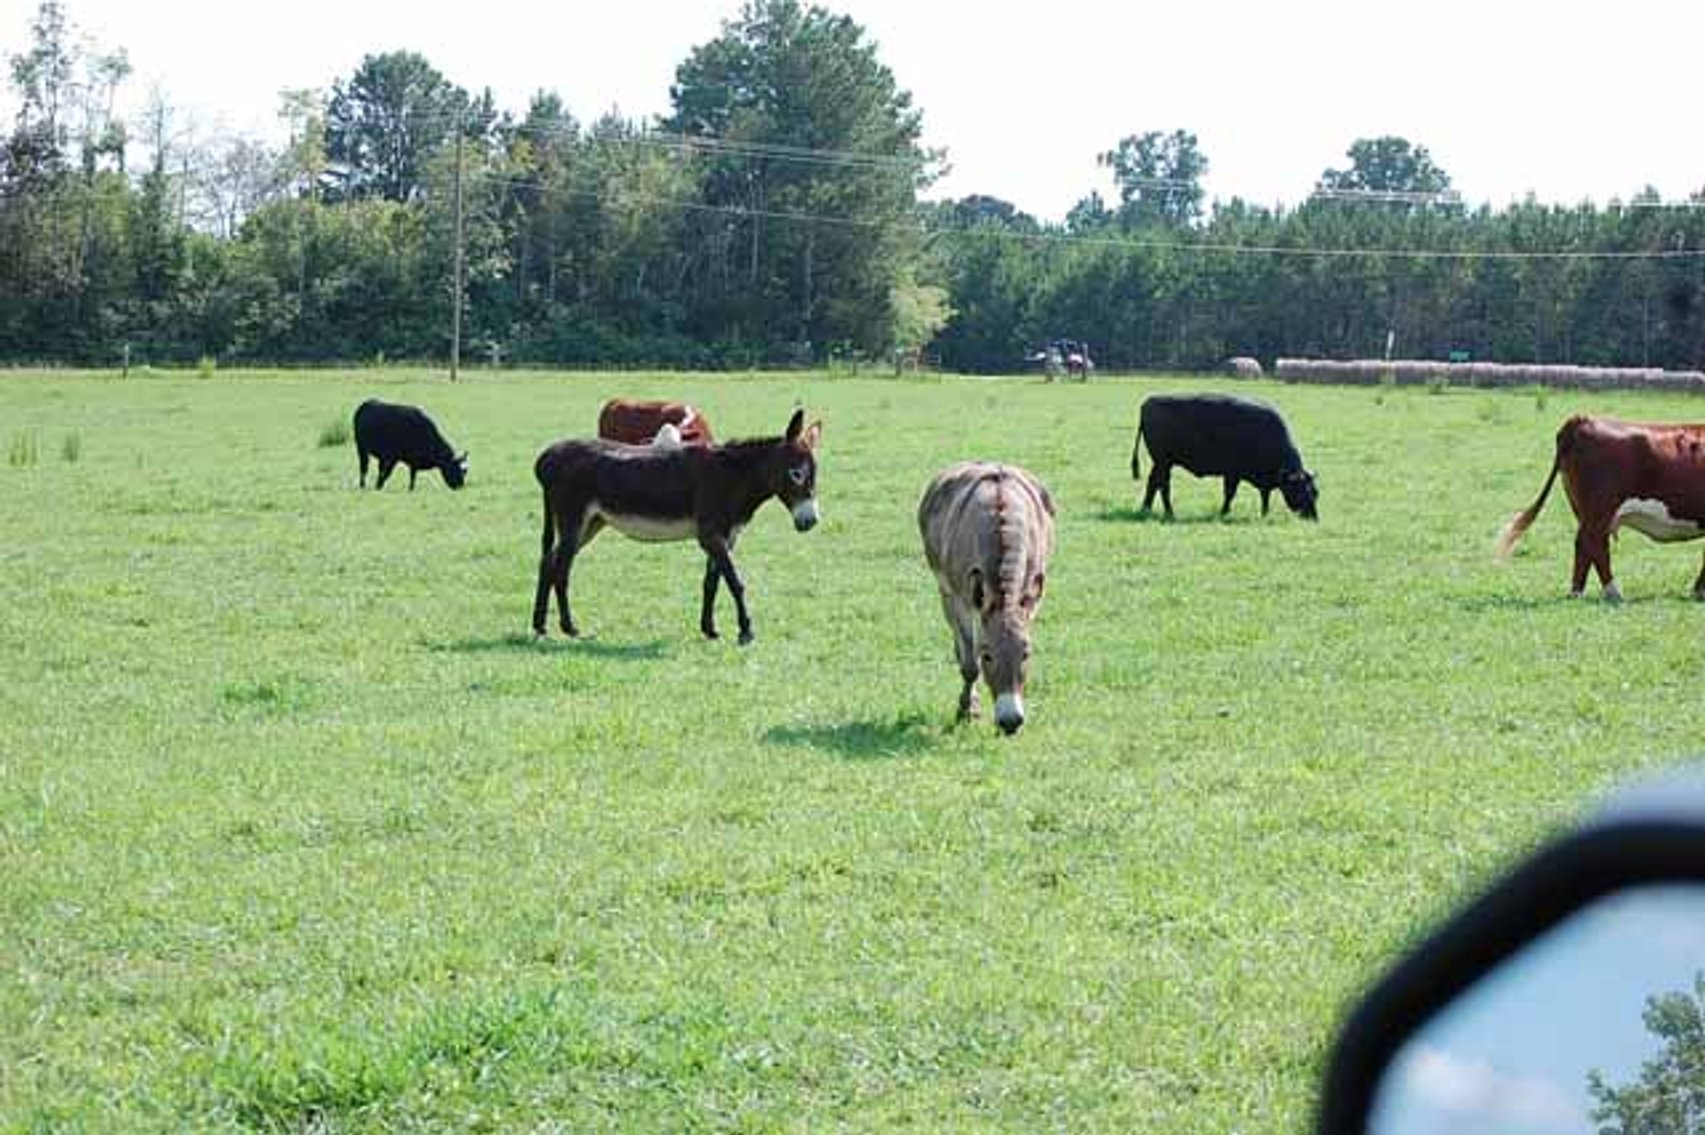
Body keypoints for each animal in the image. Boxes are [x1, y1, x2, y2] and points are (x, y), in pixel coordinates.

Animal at [1132, 393, 1319, 520]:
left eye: (1315, 492)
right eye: (1301, 491)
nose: (1314, 518)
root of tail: (1149, 402)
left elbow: (1264, 496)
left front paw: (1264, 513)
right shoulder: (1233, 474)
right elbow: (1230, 493)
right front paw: (1224, 512)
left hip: (1160, 463)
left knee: (1153, 483)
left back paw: (1146, 509)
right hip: (1164, 463)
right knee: (1163, 486)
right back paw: (1169, 513)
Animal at [1495, 415, 1705, 601]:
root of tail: (1582, 419)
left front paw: (1698, 590)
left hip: (1585, 511)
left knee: (1585, 545)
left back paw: (1577, 592)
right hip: (1600, 509)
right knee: (1594, 544)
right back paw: (1612, 592)